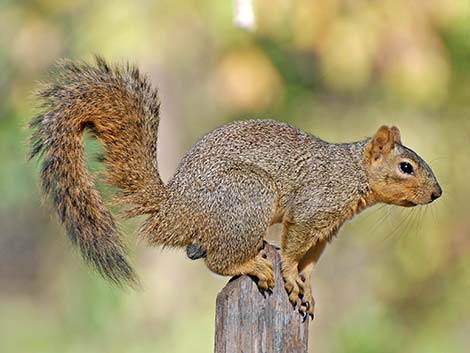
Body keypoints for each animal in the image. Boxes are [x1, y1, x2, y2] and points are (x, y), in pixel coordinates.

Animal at [29, 56, 440, 318]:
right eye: (406, 167)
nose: (437, 193)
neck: (351, 174)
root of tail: (171, 208)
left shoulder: (327, 228)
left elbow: (310, 263)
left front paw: (307, 289)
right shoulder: (312, 209)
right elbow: (294, 251)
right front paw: (290, 277)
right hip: (247, 193)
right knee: (216, 260)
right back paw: (254, 265)